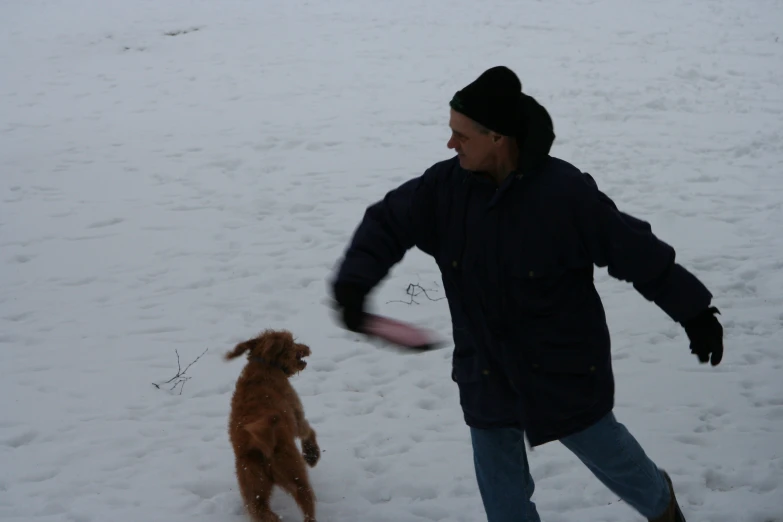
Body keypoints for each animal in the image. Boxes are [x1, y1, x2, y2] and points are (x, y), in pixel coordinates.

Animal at [224, 330, 322, 520]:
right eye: (292, 341)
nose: (307, 347)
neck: (264, 362)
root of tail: (256, 443)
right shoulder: (297, 414)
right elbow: (309, 431)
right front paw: (311, 454)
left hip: (252, 485)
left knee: (261, 511)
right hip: (294, 473)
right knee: (307, 505)